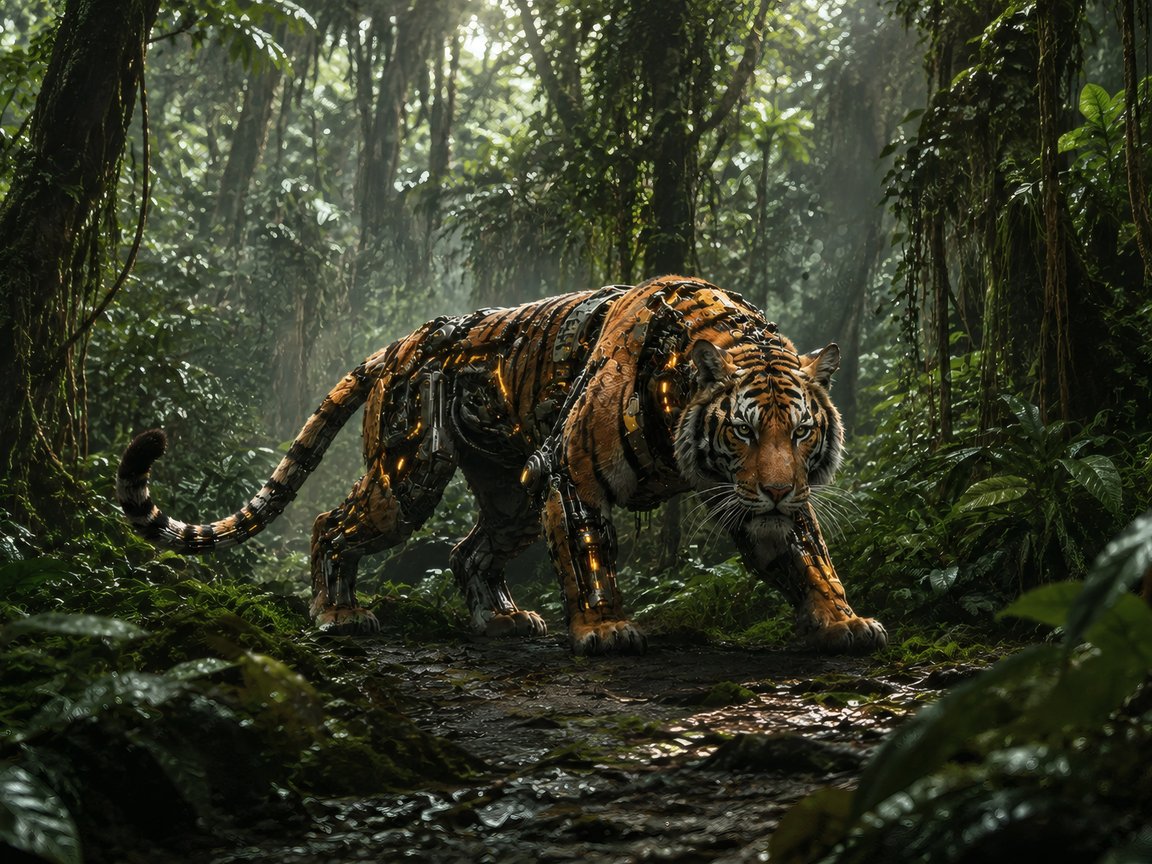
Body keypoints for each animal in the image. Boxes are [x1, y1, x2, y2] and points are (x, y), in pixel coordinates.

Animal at [117, 275, 887, 655]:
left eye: (803, 431)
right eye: (743, 431)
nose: (780, 487)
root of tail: (409, 337)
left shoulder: (758, 502)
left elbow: (807, 555)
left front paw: (842, 620)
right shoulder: (571, 473)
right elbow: (591, 555)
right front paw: (605, 629)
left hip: (510, 495)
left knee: (467, 552)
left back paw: (502, 621)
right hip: (407, 480)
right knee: (331, 523)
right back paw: (338, 613)